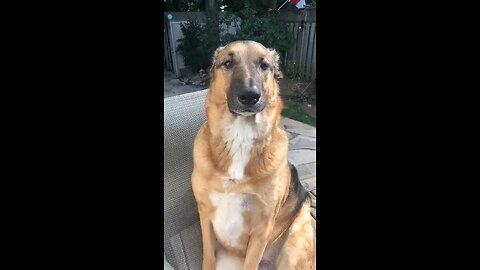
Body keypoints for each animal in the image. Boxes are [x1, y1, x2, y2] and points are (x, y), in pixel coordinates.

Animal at [191, 40, 316, 270]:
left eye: (264, 65)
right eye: (228, 63)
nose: (250, 96)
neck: (240, 138)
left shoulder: (261, 230)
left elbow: (250, 263)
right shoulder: (205, 217)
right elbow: (208, 258)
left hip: (294, 242)